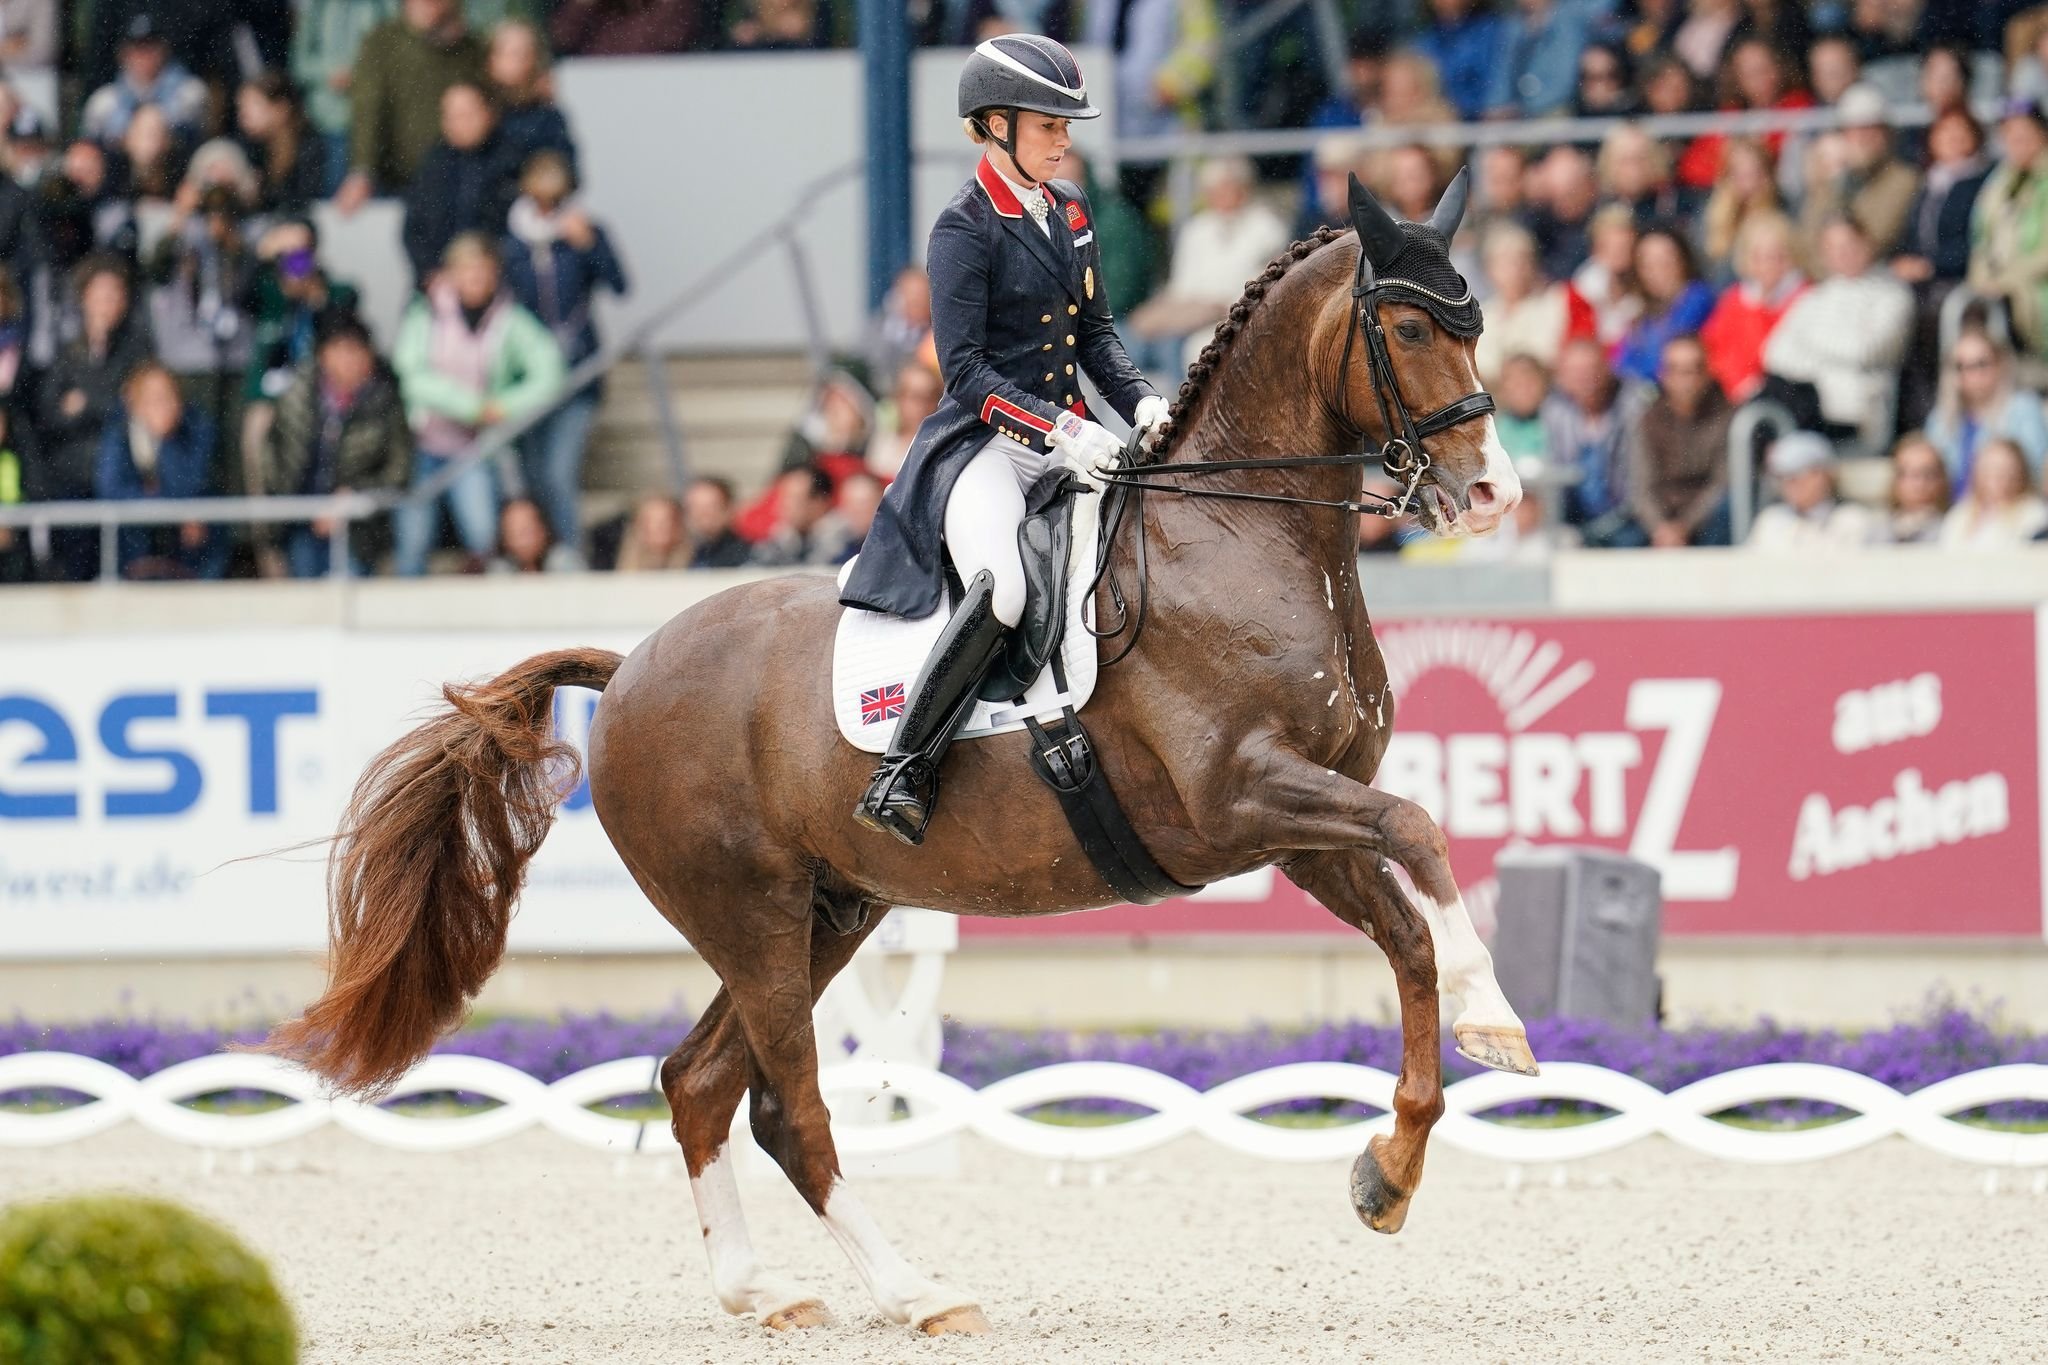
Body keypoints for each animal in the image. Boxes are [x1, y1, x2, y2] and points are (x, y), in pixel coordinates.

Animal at [264, 175, 1531, 1342]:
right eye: (1407, 328)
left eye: (1474, 322)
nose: (1491, 493)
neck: (1232, 535)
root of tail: (626, 673)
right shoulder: (1238, 800)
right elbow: (1420, 832)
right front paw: (1499, 1022)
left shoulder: (1303, 822)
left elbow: (1408, 930)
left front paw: (1389, 1171)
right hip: (751, 915)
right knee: (789, 1108)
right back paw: (915, 1292)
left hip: (827, 911)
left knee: (701, 1084)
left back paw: (764, 1291)